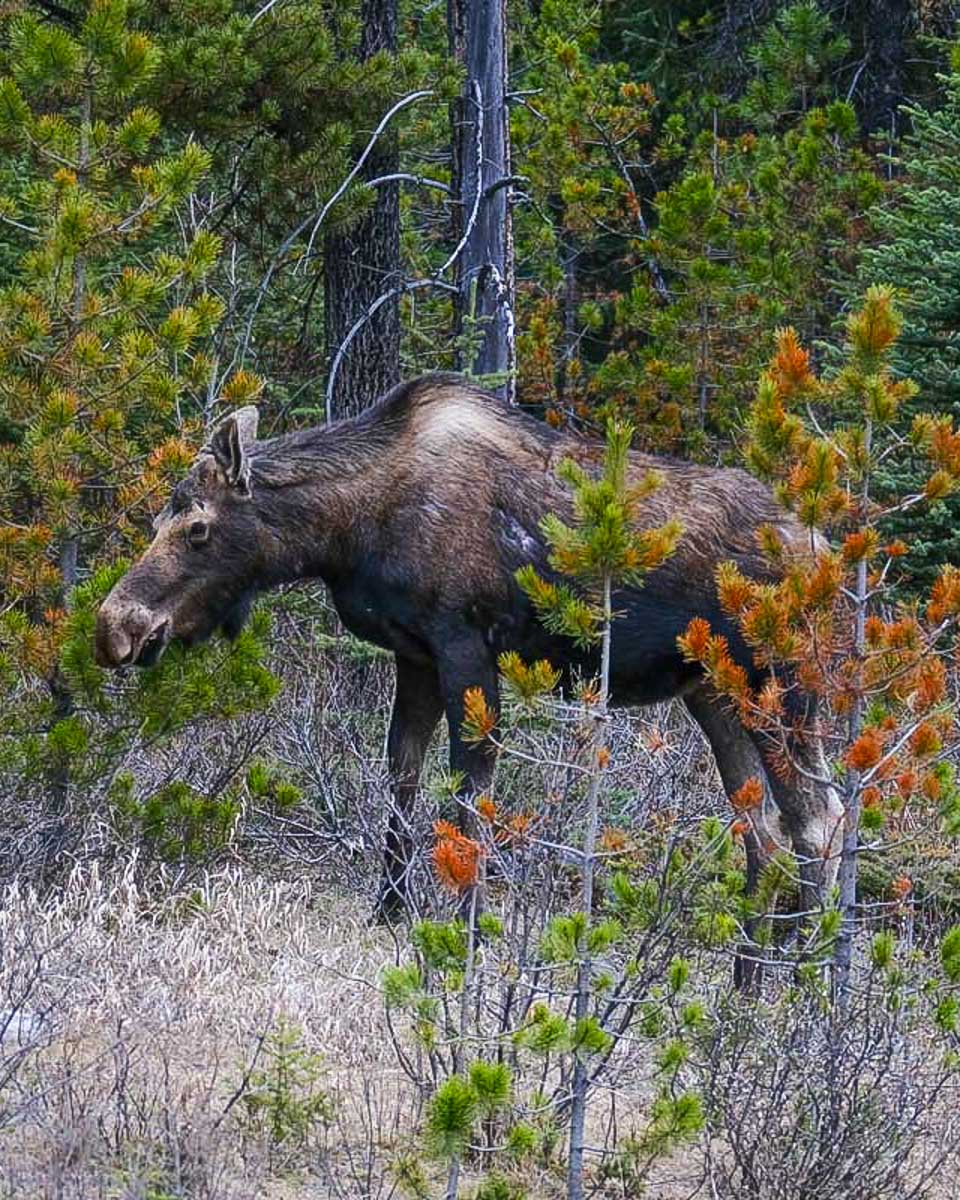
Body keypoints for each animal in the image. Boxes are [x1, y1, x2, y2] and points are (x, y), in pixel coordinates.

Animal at [95, 374, 843, 974]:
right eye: (157, 518)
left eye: (196, 528)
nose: (115, 627)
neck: (347, 531)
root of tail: (826, 551)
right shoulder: (415, 655)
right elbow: (402, 779)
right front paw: (389, 913)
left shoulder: (464, 644)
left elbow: (469, 795)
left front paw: (466, 927)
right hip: (715, 692)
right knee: (763, 831)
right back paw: (748, 974)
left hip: (782, 688)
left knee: (818, 819)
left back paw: (801, 977)